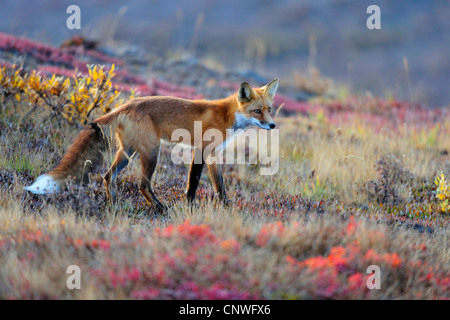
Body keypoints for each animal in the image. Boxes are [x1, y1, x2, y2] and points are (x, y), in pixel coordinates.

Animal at [24, 79, 280, 211]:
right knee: (143, 185)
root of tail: (122, 106)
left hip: (127, 153)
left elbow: (217, 186)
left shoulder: (212, 154)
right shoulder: (202, 151)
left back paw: (114, 205)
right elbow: (196, 184)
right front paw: (191, 207)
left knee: (107, 176)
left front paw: (223, 207)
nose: (273, 125)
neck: (226, 116)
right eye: (257, 111)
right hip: (151, 153)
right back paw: (160, 208)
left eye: (269, 109)